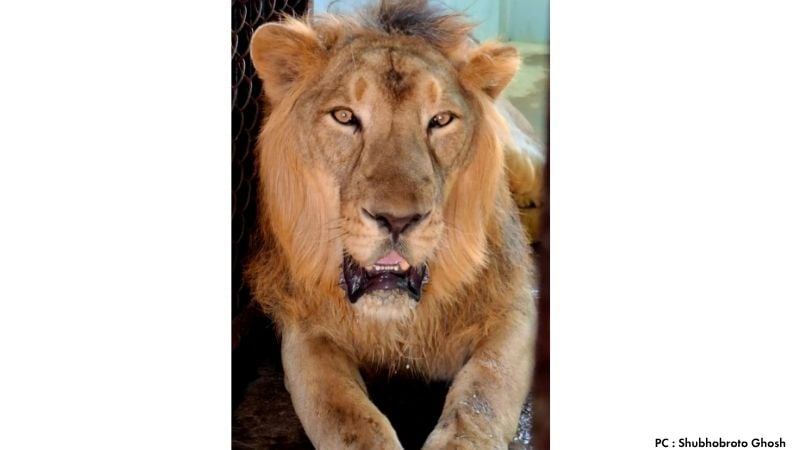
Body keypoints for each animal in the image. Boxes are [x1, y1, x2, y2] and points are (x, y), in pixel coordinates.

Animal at [245, 0, 543, 448]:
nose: (398, 220)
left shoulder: (515, 307)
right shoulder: (306, 330)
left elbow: (480, 398)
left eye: (441, 120)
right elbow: (344, 414)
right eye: (344, 116)